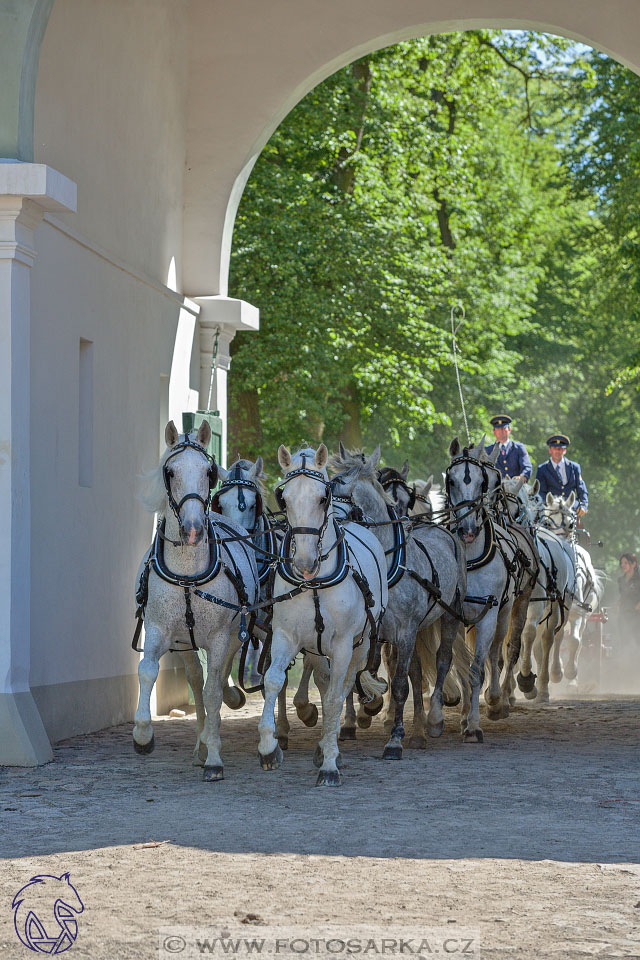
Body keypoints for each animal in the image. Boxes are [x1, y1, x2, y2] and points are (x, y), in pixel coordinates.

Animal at [134, 422, 258, 780]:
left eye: (208, 471)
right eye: (170, 471)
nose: (191, 530)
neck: (187, 575)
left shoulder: (218, 638)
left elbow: (213, 692)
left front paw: (214, 756)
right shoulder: (159, 629)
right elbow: (147, 671)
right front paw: (143, 735)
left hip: (233, 636)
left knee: (216, 681)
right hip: (185, 644)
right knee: (196, 680)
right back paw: (200, 744)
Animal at [258, 446, 388, 784]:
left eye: (321, 498)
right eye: (284, 498)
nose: (305, 563)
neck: (314, 583)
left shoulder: (343, 645)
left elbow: (333, 699)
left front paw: (330, 763)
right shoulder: (285, 636)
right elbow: (273, 680)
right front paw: (268, 748)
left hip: (361, 645)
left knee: (342, 687)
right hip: (316, 648)